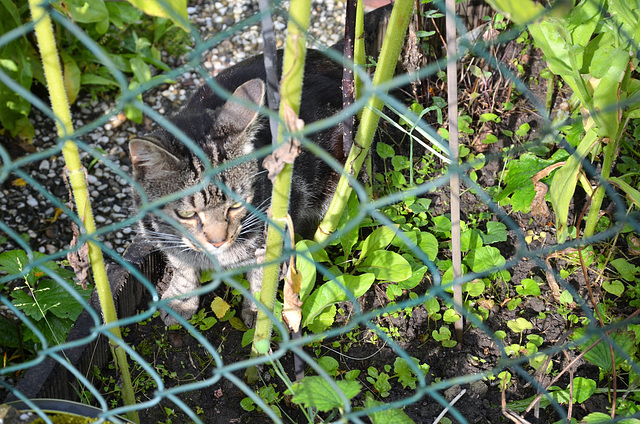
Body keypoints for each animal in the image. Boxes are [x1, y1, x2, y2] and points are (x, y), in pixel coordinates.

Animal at [129, 50, 344, 328]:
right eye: (187, 214)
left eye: (235, 206)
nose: (218, 242)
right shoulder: (163, 239)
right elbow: (182, 267)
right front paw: (181, 300)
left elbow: (263, 278)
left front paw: (258, 312)